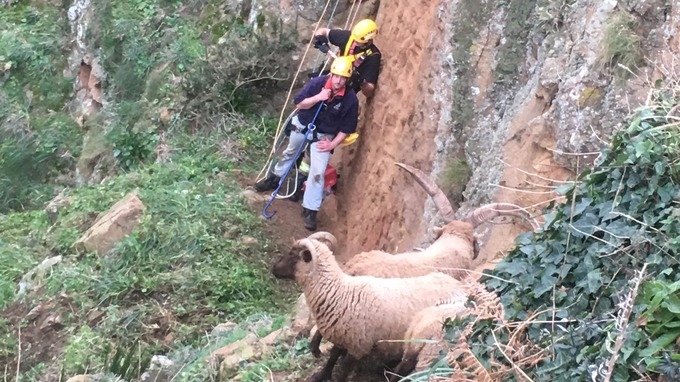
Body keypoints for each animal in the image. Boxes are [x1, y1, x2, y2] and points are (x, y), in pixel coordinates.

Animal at [270, 236, 468, 382]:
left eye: (292, 255)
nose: (273, 269)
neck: (339, 292)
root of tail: (459, 286)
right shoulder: (343, 336)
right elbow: (332, 358)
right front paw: (321, 375)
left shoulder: (358, 345)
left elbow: (343, 370)